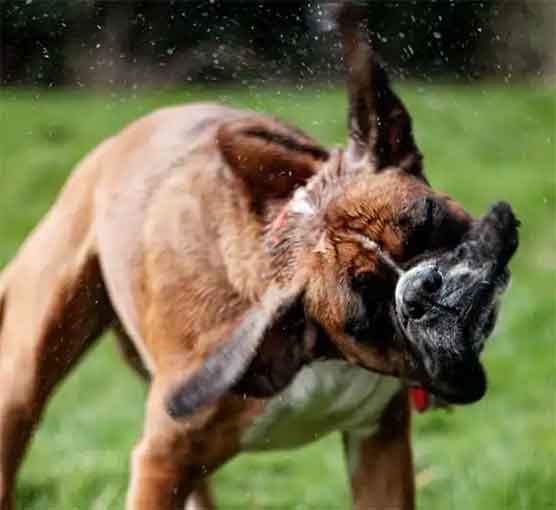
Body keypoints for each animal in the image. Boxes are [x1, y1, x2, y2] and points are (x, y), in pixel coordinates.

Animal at [2, 4, 520, 510]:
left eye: (429, 219)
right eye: (367, 317)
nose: (426, 287)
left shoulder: (380, 443)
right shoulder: (163, 461)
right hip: (23, 382)